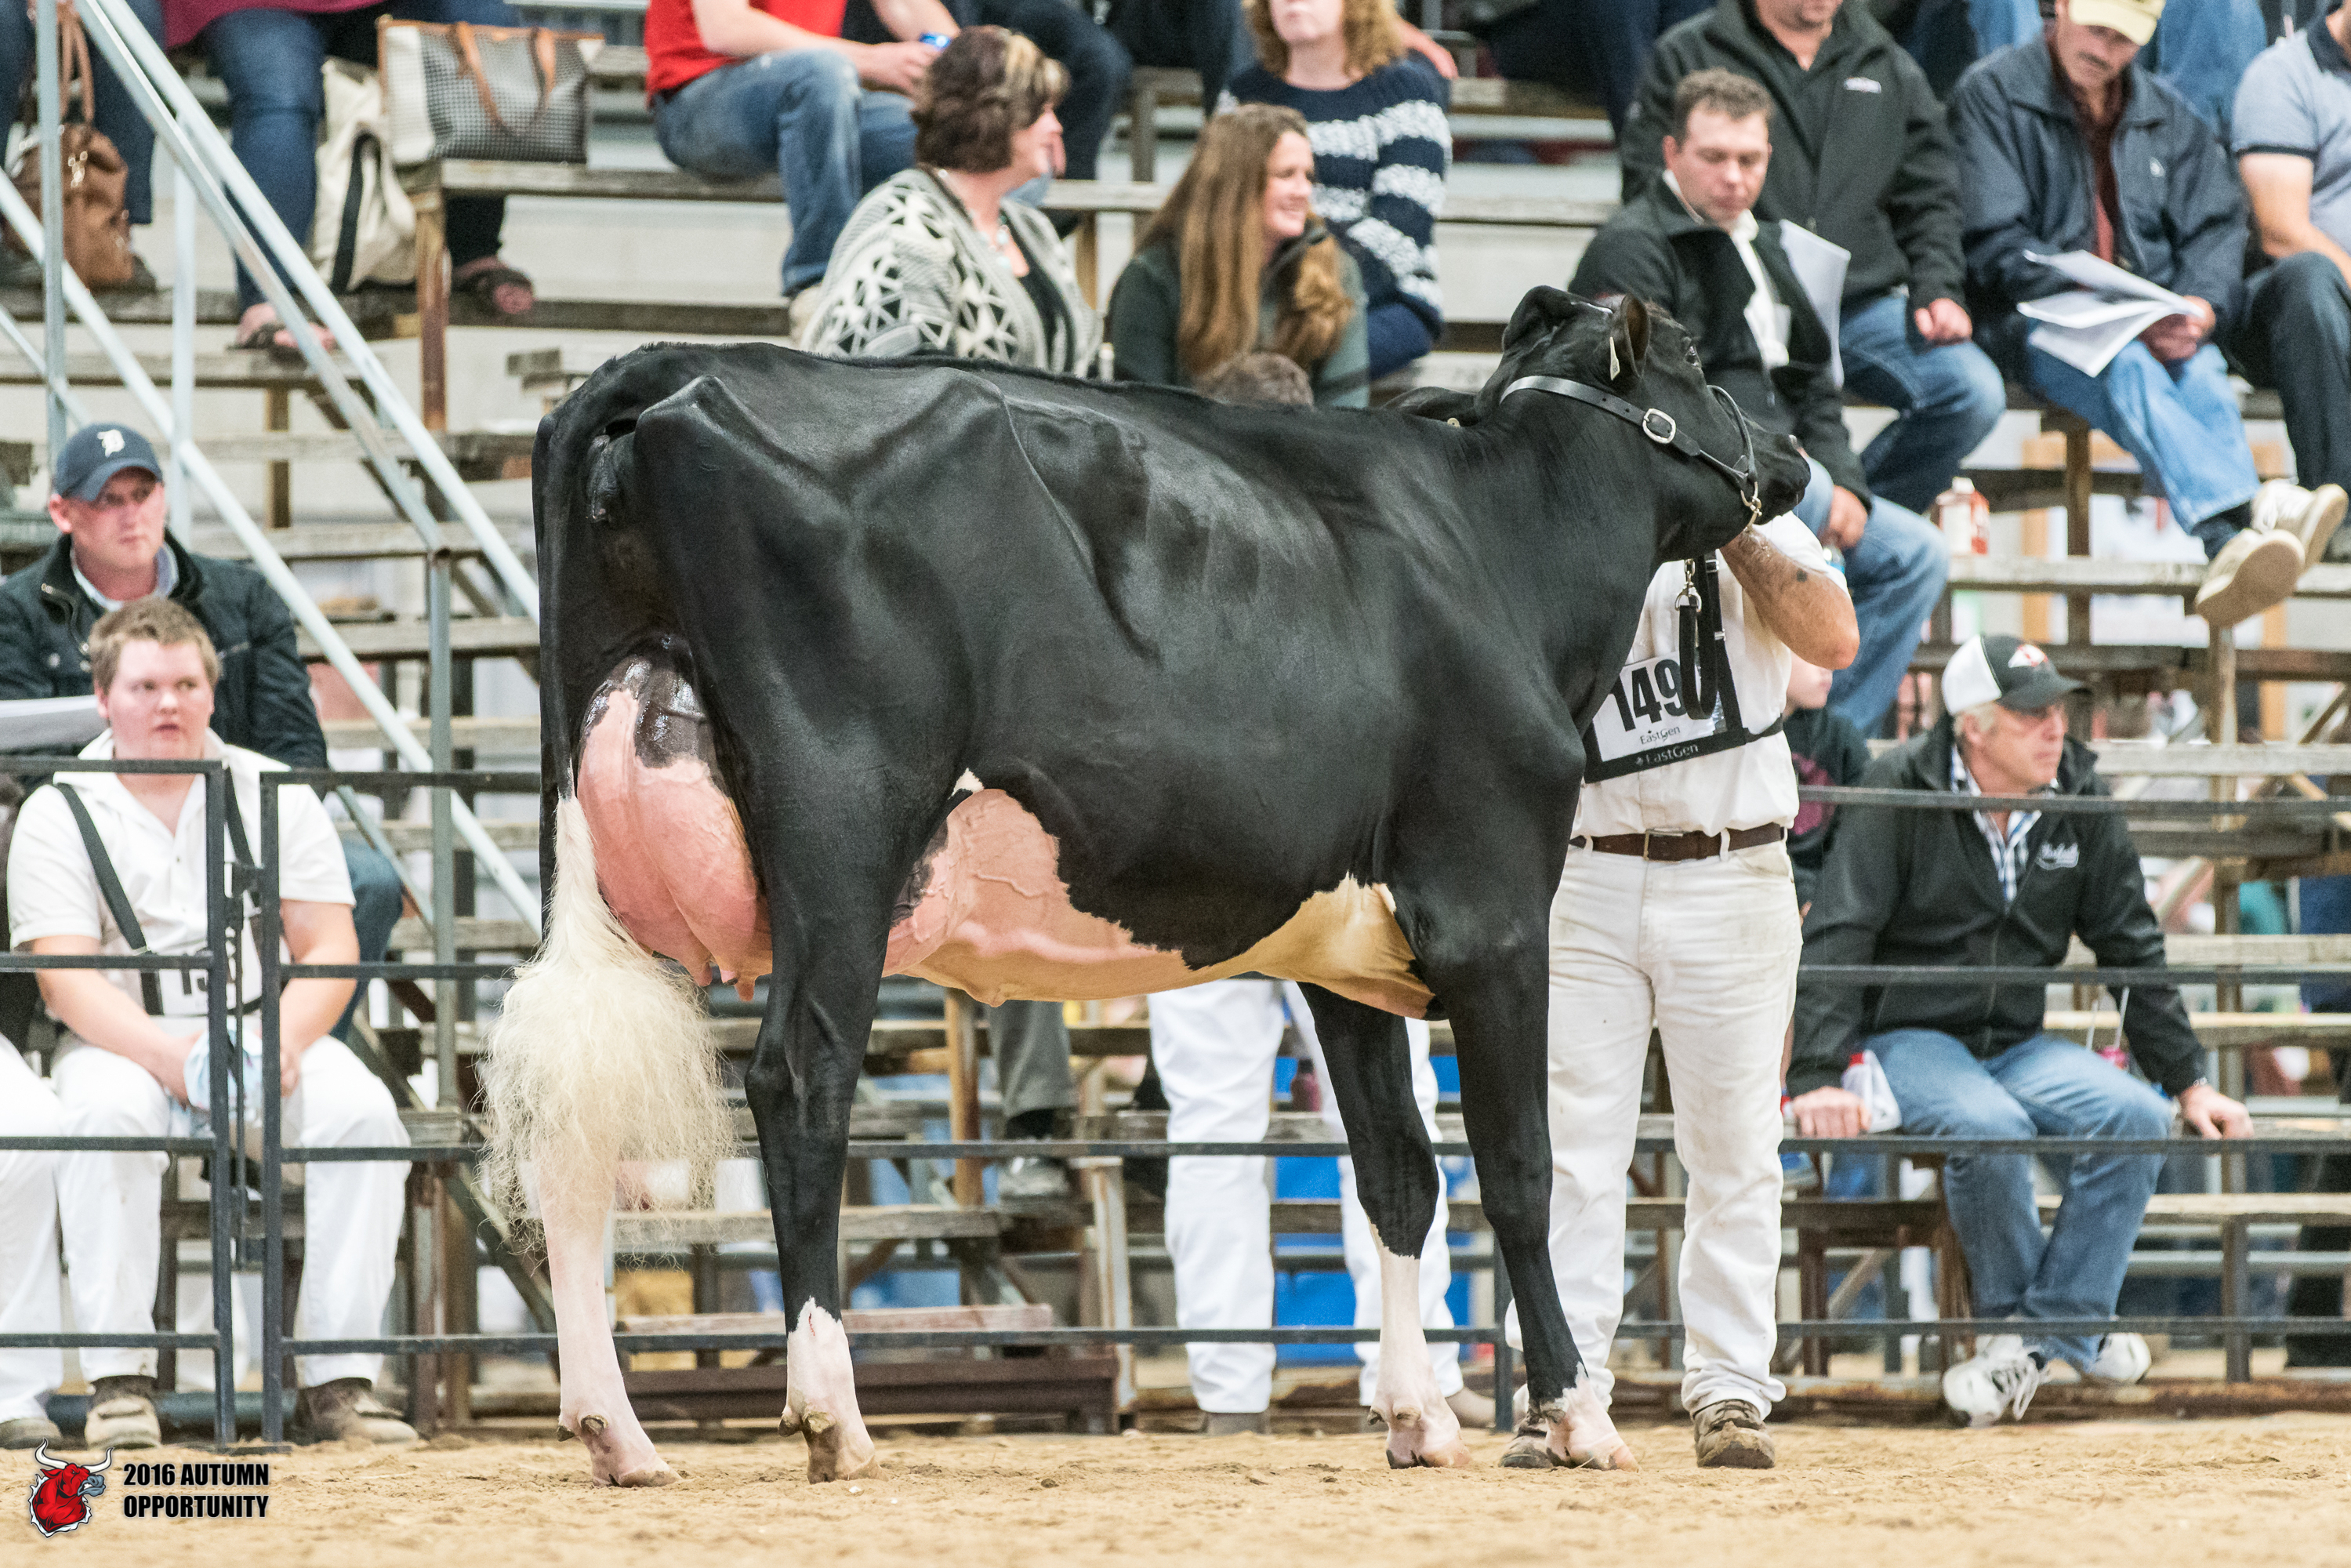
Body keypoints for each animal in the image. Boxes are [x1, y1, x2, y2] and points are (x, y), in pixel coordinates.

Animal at [488, 285, 1810, 1488]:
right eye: (1699, 364)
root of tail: (669, 365)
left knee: (574, 1116)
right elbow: (1519, 1176)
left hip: (594, 849)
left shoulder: (1342, 955)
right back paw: (831, 1414)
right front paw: (1573, 1416)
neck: (1500, 557)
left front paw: (1416, 1420)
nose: (1797, 456)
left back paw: (615, 1431)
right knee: (798, 1080)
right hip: (843, 829)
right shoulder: (1489, 915)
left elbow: (1395, 1175)